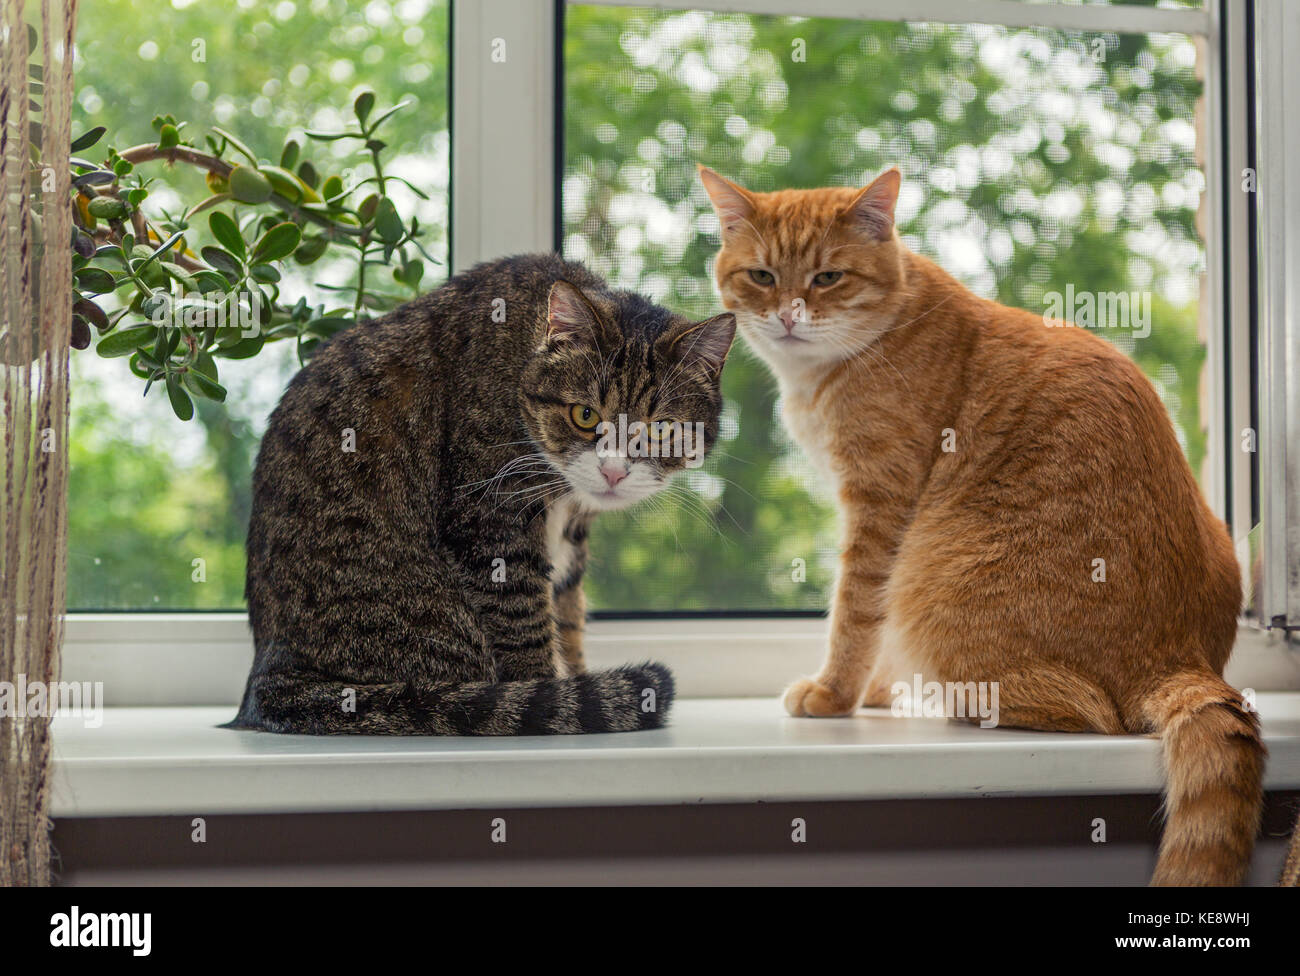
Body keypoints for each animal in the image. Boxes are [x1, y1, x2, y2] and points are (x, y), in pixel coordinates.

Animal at [230, 256, 738, 738]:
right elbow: (524, 624)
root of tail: (269, 678)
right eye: (585, 414)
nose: (613, 471)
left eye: (661, 429)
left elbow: (567, 617)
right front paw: (550, 694)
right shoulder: (491, 518)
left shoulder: (570, 541)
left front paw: (577, 679)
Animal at [707, 162, 1263, 883]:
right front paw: (876, 692)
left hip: (933, 580)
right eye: (762, 276)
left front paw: (836, 693)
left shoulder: (880, 509)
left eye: (828, 277)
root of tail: (1179, 657)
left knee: (1092, 711)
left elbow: (855, 615)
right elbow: (875, 628)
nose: (787, 316)